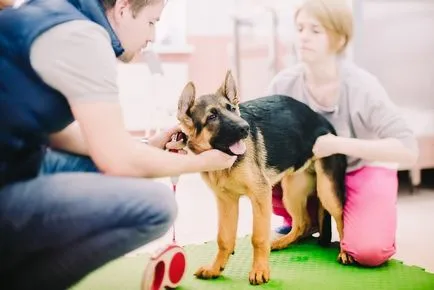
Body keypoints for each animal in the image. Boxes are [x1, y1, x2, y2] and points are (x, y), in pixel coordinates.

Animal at [175, 71, 350, 286]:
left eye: (232, 109)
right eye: (212, 116)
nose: (246, 128)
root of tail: (323, 120)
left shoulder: (260, 195)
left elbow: (258, 238)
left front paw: (259, 270)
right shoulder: (226, 201)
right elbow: (224, 239)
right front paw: (215, 268)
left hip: (326, 191)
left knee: (341, 218)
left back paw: (345, 252)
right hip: (291, 193)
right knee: (303, 223)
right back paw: (281, 242)